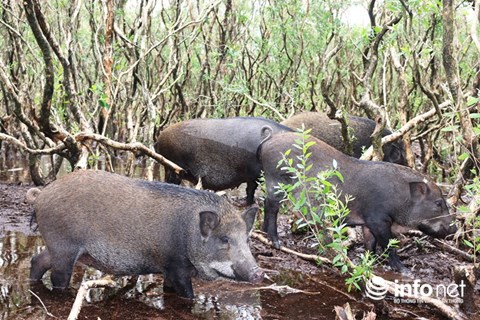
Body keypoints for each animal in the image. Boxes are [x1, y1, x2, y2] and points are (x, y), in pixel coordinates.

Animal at [28, 170, 264, 298]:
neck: (189, 233)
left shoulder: (170, 270)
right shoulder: (176, 266)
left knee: (37, 260)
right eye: (224, 239)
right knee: (57, 276)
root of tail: (42, 194)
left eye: (246, 239)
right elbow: (188, 295)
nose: (259, 272)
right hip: (64, 248)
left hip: (55, 247)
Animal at [258, 130, 458, 270]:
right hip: (276, 182)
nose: (455, 229)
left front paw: (370, 262)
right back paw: (276, 243)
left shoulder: (368, 222)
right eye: (438, 203)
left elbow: (370, 244)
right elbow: (387, 245)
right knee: (270, 206)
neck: (400, 200)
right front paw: (405, 271)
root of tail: (268, 141)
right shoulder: (378, 219)